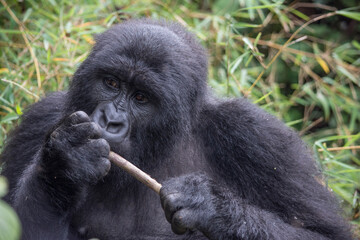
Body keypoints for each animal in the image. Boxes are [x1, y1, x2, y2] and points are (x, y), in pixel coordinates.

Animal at [0, 19, 352, 240]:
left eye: (141, 98)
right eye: (111, 83)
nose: (110, 120)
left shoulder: (256, 136)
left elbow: (322, 233)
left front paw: (211, 207)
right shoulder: (42, 120)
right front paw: (66, 161)